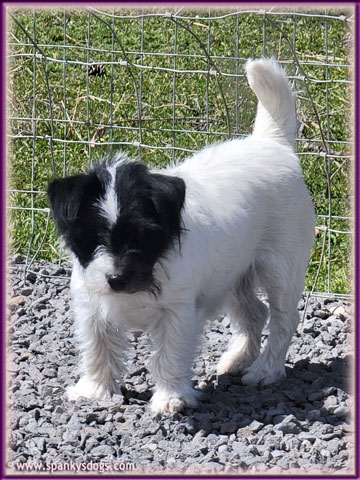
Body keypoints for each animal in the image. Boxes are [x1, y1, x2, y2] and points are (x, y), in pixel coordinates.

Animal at [47, 59, 316, 412]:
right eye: (92, 237)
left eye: (144, 235)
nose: (117, 279)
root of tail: (272, 143)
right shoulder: (92, 309)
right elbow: (97, 349)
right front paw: (94, 390)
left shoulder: (176, 314)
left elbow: (169, 356)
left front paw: (171, 398)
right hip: (233, 274)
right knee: (255, 314)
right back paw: (237, 359)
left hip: (280, 270)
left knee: (284, 319)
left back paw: (265, 371)